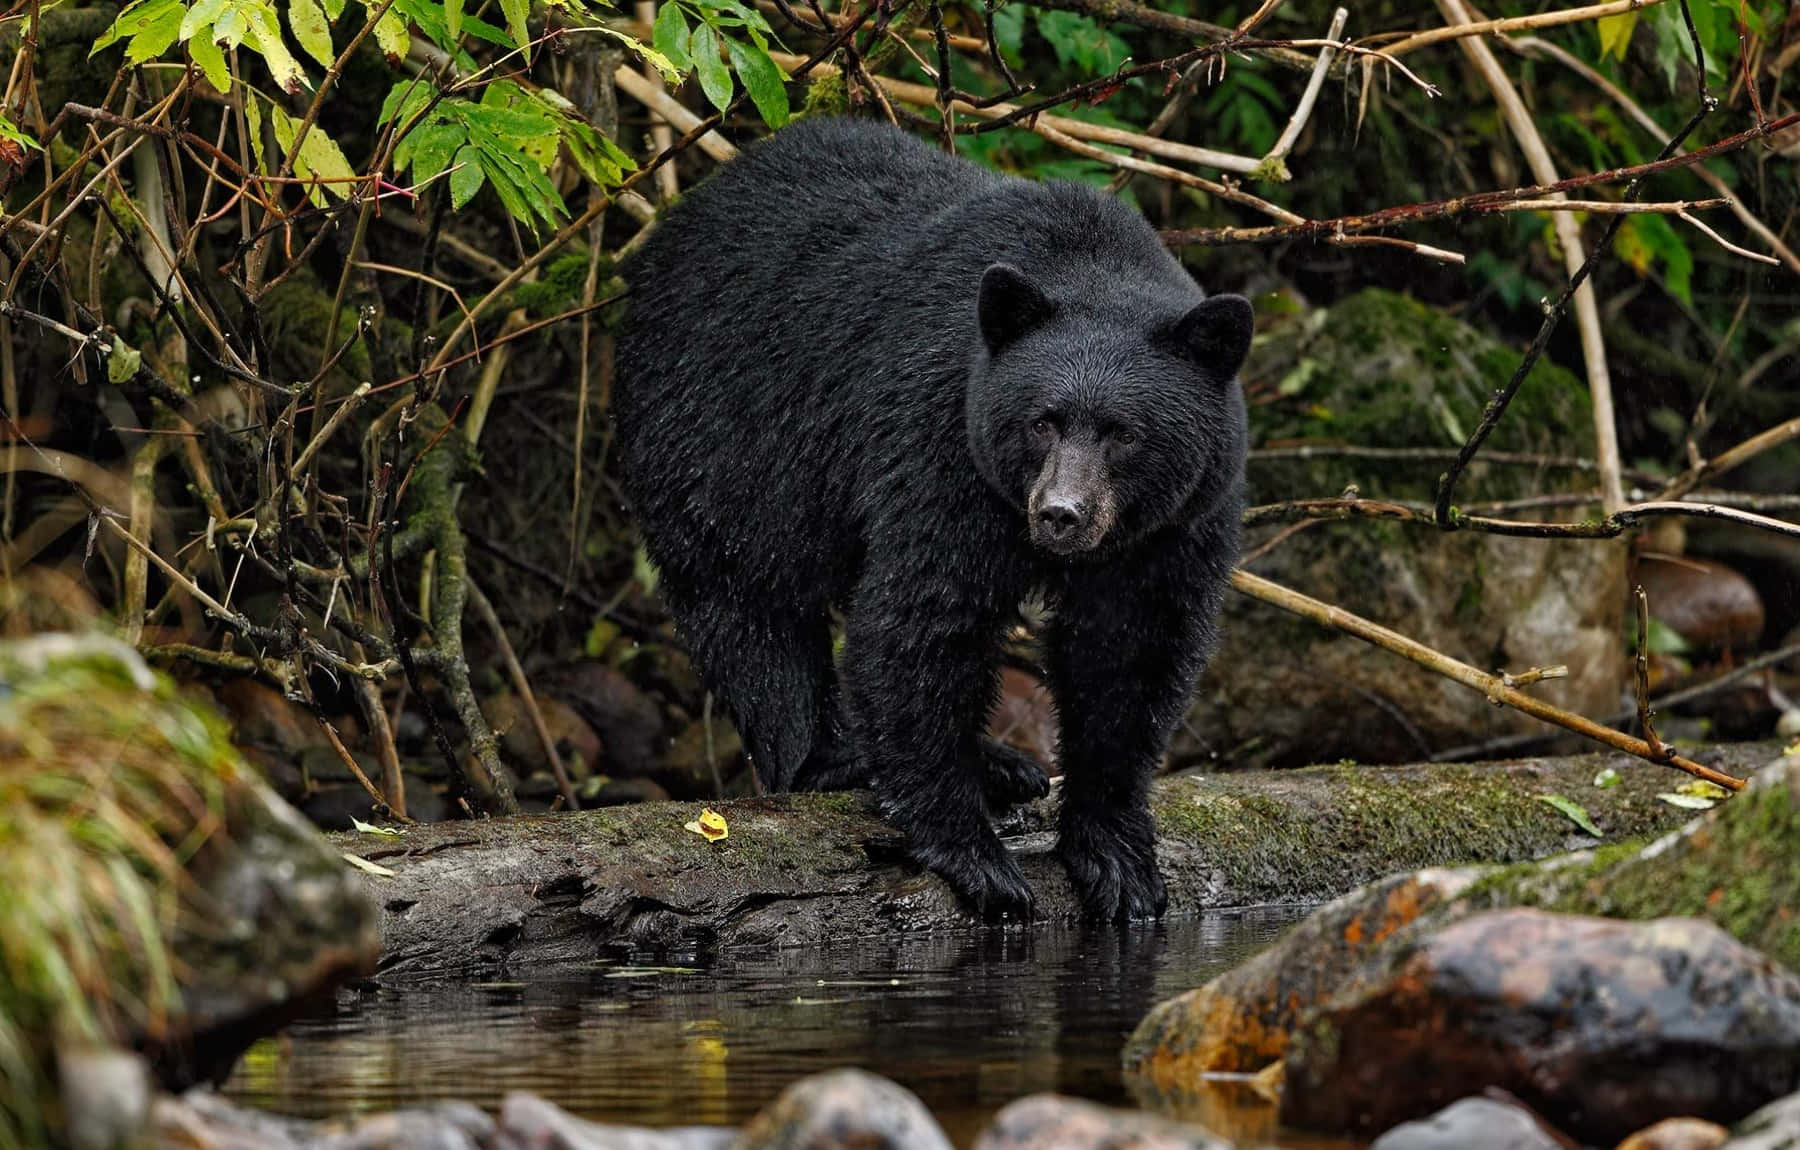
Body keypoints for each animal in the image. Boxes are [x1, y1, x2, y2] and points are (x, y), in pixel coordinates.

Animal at [613, 117, 1252, 922]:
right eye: (1042, 422)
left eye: (1123, 433)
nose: (1061, 515)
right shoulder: (942, 446)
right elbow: (923, 621)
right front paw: (971, 852)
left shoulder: (1178, 522)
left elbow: (1130, 651)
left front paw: (1116, 856)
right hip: (720, 426)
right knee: (747, 598)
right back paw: (836, 755)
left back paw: (1002, 765)